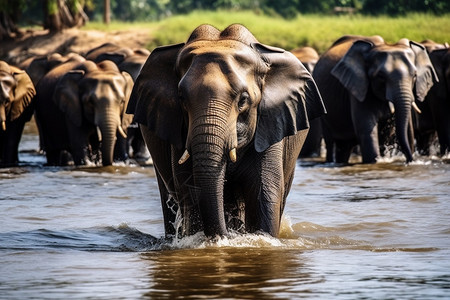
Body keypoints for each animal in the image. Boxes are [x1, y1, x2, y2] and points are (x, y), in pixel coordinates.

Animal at [125, 24, 326, 239]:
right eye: (181, 98)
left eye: (243, 100)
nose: (224, 237)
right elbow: (191, 192)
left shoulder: (270, 127)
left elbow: (263, 192)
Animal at [314, 36, 438, 165]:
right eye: (381, 76)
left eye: (414, 75)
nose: (409, 161)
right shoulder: (359, 89)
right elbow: (367, 132)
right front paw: (375, 162)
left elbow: (409, 131)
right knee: (331, 142)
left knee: (344, 147)